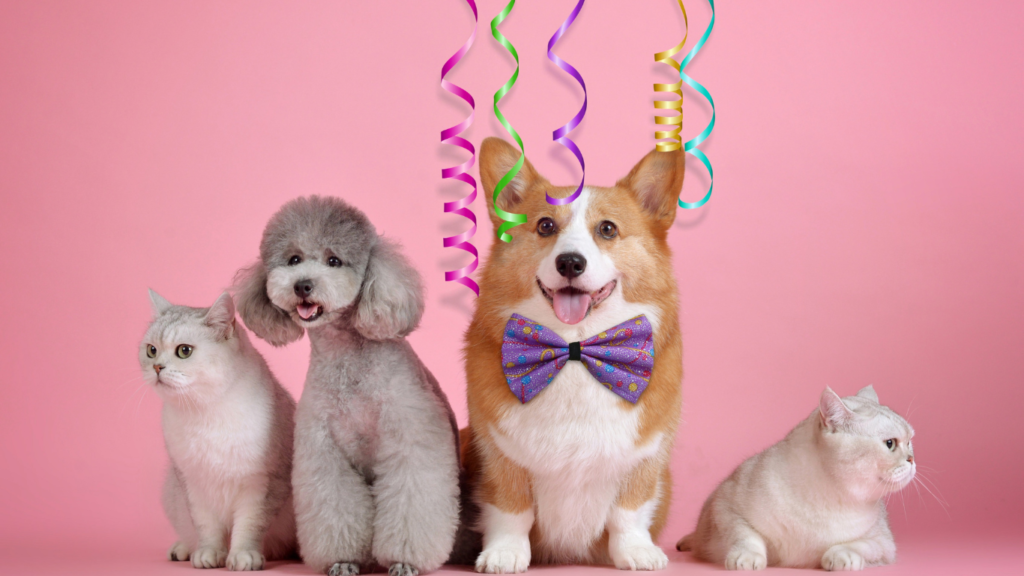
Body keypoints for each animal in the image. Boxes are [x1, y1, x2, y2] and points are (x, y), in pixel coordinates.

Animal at [139, 289, 296, 565]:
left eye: (184, 351)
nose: (157, 367)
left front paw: (243, 555)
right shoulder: (192, 483)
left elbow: (250, 524)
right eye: (151, 350)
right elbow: (206, 526)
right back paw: (181, 549)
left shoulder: (262, 483)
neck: (204, 412)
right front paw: (209, 553)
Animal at [464, 138, 688, 569]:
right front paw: (504, 554)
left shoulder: (647, 454)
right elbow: (511, 509)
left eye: (607, 229)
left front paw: (636, 551)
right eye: (545, 226)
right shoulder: (498, 453)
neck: (575, 351)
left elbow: (629, 510)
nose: (570, 262)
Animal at [675, 385, 917, 569]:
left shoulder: (884, 543)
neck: (828, 498)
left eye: (910, 442)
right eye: (890, 443)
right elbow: (746, 536)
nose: (912, 459)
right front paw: (747, 559)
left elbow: (858, 545)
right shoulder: (726, 506)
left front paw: (840, 557)